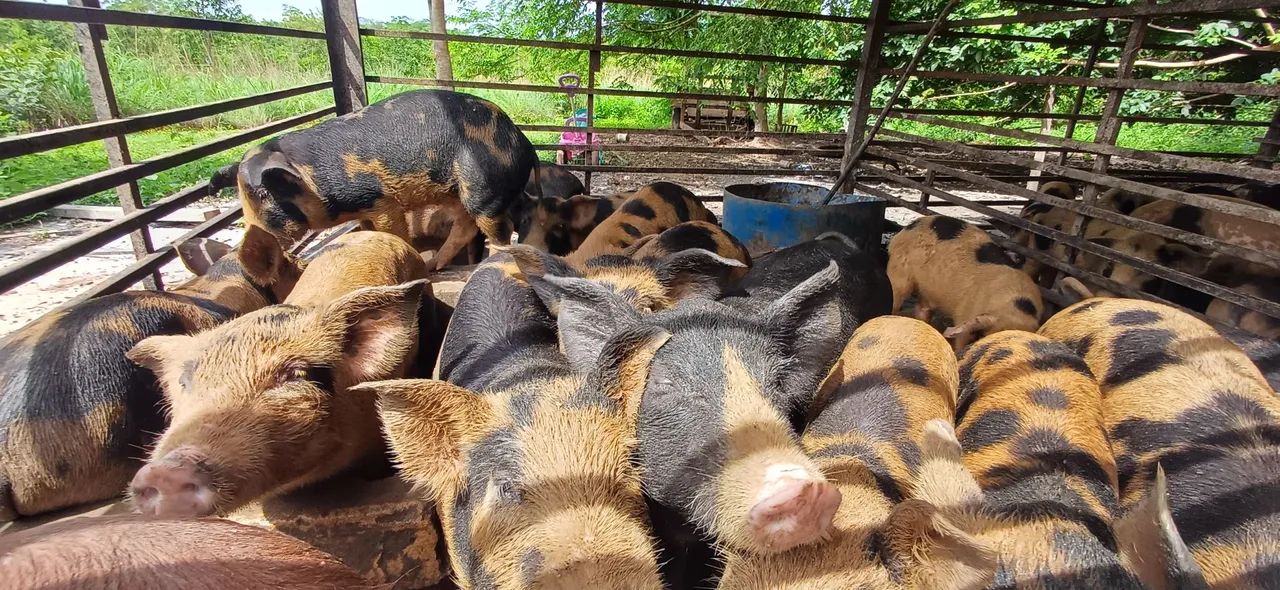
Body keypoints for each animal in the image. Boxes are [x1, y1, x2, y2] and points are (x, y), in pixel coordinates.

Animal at [213, 89, 537, 271]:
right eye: (241, 198)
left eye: (263, 194)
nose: (242, 253)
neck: (312, 179)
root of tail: (522, 140)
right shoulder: (363, 209)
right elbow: (368, 232)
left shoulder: (378, 198)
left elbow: (396, 233)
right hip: (456, 194)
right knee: (465, 227)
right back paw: (434, 266)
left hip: (483, 189)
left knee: (497, 229)